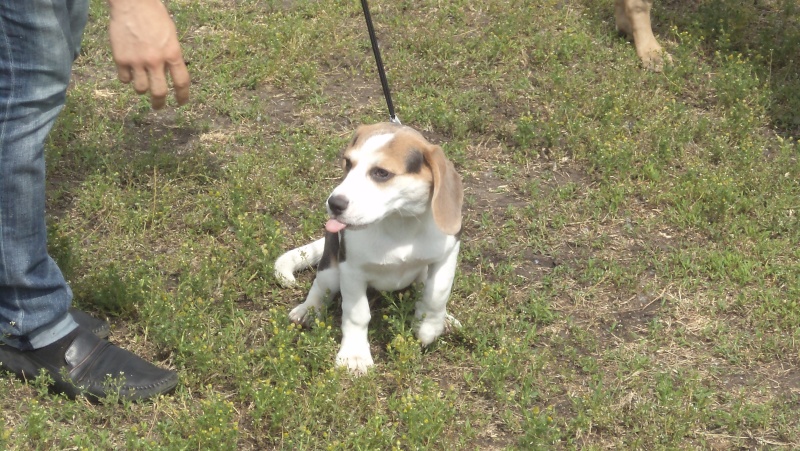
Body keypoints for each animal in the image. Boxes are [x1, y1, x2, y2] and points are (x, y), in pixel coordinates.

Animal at [274, 122, 464, 373]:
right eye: (348, 162)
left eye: (381, 173)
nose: (334, 204)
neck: (399, 224)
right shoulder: (352, 270)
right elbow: (357, 314)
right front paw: (354, 355)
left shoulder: (448, 253)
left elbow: (438, 293)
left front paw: (428, 326)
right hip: (331, 268)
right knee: (321, 287)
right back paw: (308, 310)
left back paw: (446, 320)